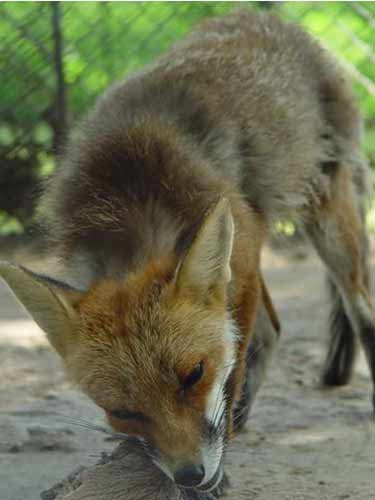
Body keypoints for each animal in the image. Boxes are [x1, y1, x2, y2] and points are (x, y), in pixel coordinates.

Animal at [0, 8, 375, 496]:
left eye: (193, 375)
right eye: (123, 412)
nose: (190, 475)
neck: (130, 193)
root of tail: (266, 17)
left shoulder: (242, 263)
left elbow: (231, 373)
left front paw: (221, 459)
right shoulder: (239, 264)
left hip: (328, 223)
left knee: (357, 309)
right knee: (272, 328)